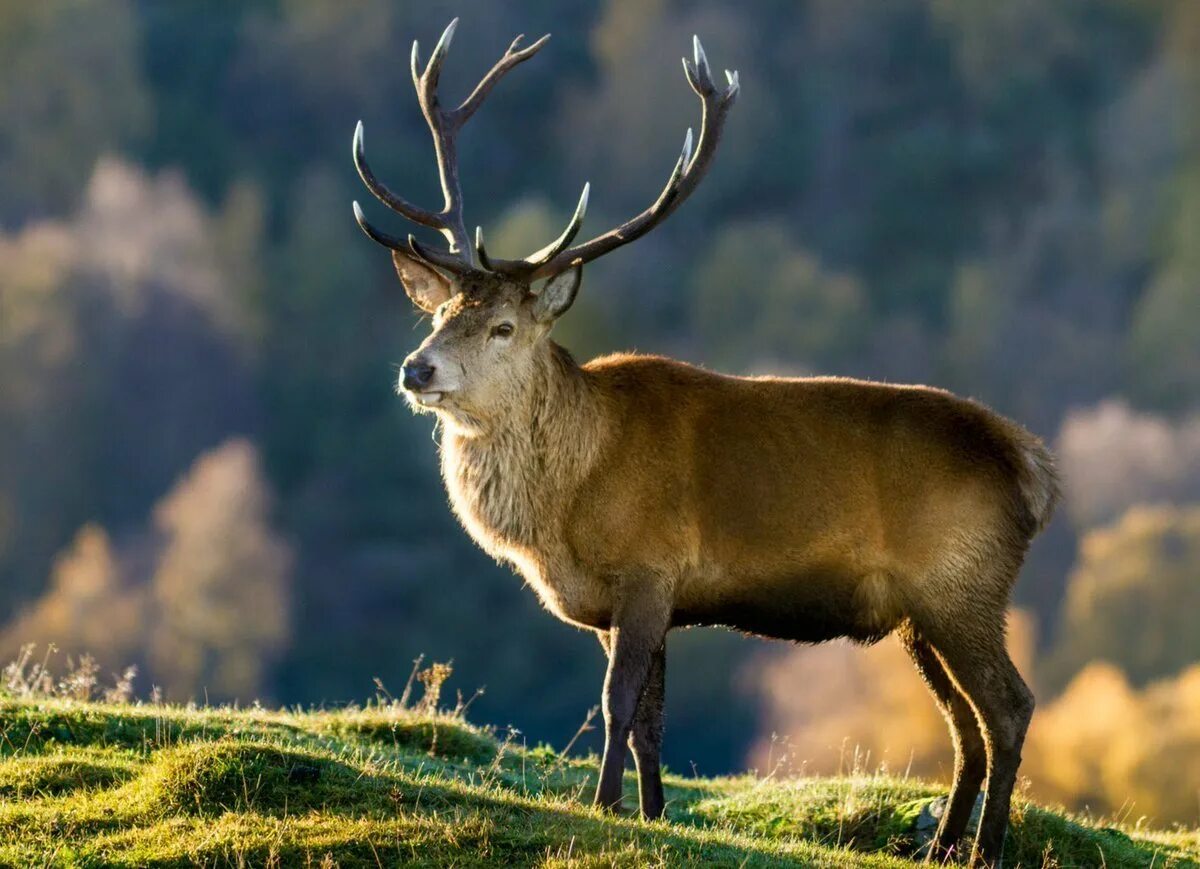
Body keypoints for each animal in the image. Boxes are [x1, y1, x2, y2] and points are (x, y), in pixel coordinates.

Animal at [350, 22, 1060, 869]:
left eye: (503, 326)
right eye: (440, 312)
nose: (416, 368)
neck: (567, 510)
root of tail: (1034, 468)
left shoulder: (647, 567)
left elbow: (617, 701)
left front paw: (604, 805)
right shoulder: (650, 598)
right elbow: (653, 717)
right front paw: (655, 814)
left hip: (963, 582)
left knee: (1009, 708)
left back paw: (985, 848)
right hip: (921, 611)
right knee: (965, 724)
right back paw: (943, 845)